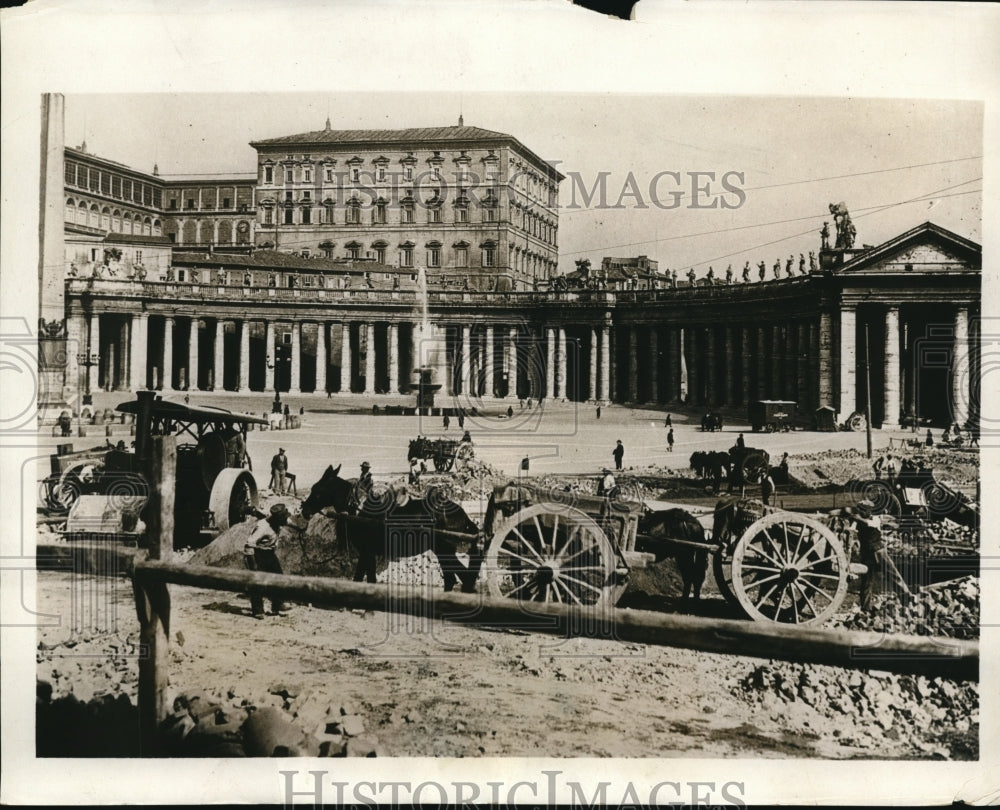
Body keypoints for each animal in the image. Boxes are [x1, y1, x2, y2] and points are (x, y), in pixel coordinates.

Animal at [298, 464, 482, 592]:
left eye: (317, 490)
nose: (304, 509)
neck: (358, 510)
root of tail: (462, 514)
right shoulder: (367, 553)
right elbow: (364, 578)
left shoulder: (367, 552)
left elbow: (365, 579)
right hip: (442, 551)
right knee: (452, 579)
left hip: (445, 550)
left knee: (461, 577)